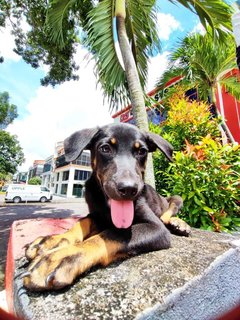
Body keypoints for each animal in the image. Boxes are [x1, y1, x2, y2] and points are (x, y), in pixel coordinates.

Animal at [23, 122, 191, 290]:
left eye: (142, 151)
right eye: (105, 148)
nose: (129, 189)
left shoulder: (156, 227)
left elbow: (111, 234)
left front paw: (63, 256)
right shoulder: (96, 214)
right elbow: (82, 222)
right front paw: (54, 240)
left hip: (177, 198)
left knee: (166, 215)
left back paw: (178, 224)